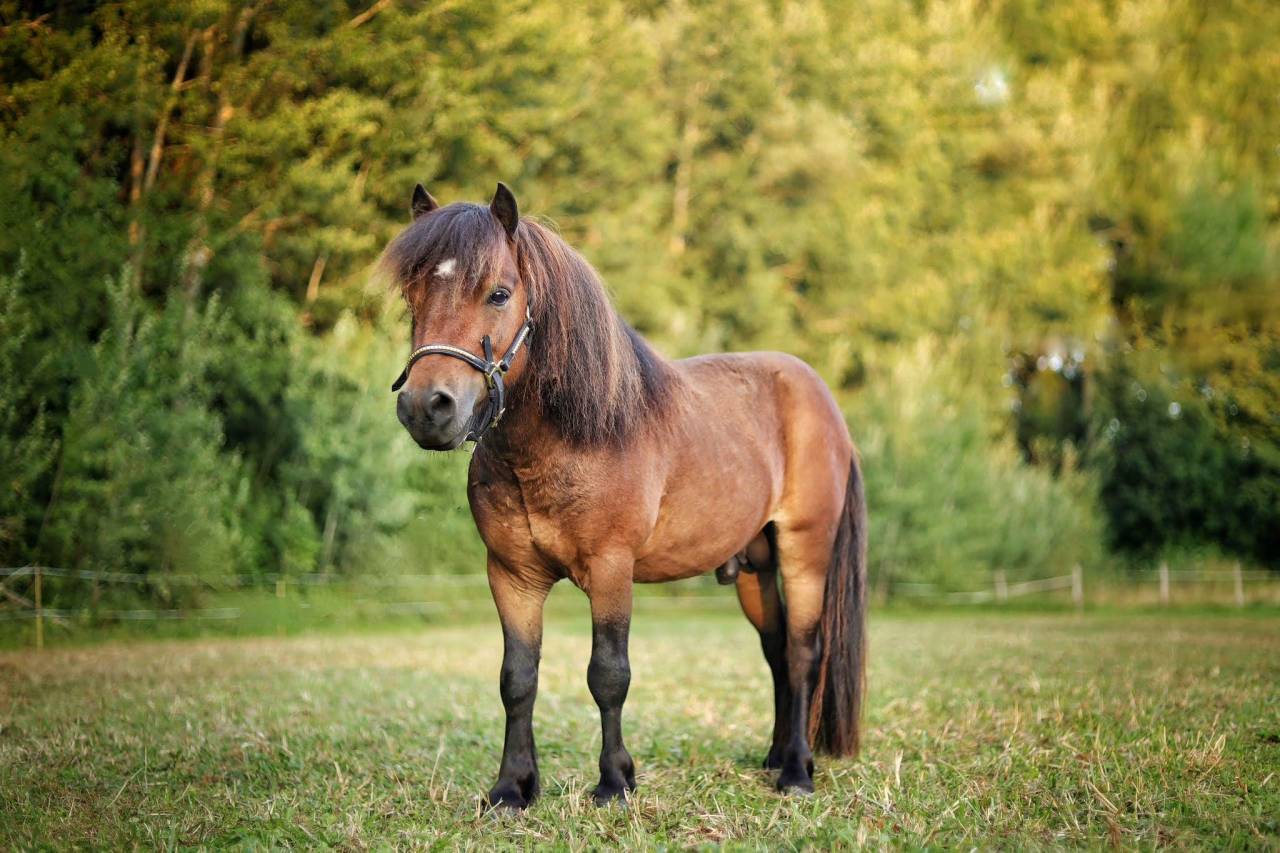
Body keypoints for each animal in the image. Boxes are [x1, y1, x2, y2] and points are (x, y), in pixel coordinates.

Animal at [383, 182, 867, 808]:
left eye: (498, 293)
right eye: (413, 296)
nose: (427, 407)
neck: (571, 437)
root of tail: (821, 399)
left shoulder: (612, 568)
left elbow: (608, 674)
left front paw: (615, 782)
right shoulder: (511, 575)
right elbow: (517, 678)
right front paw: (512, 788)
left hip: (804, 554)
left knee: (805, 654)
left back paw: (797, 774)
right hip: (756, 568)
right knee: (778, 652)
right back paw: (777, 756)